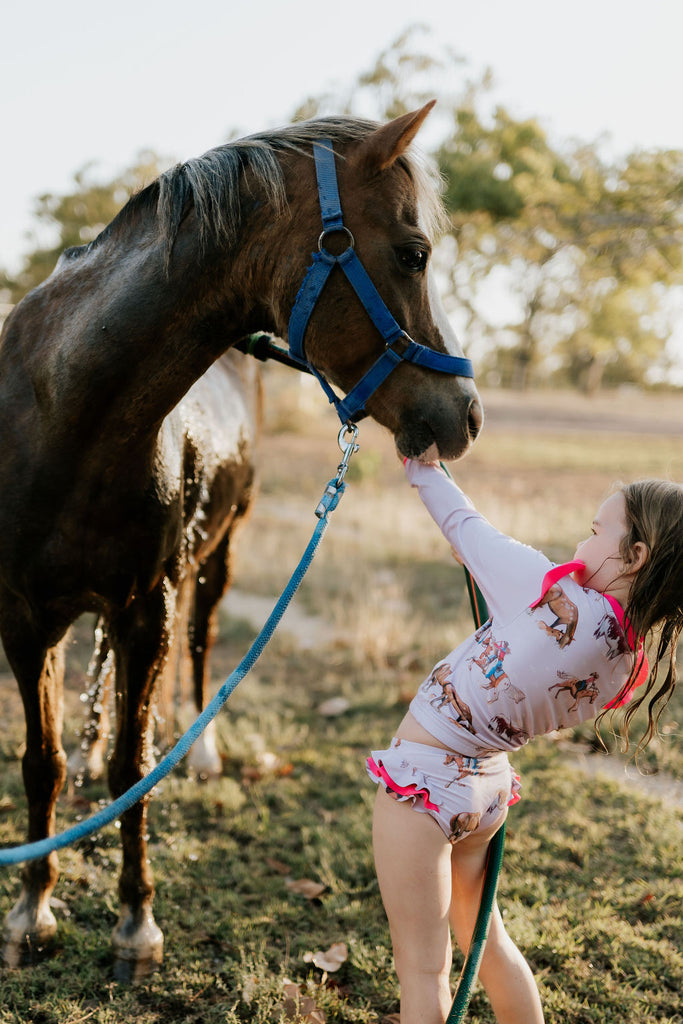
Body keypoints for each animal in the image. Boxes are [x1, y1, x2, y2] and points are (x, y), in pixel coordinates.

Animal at [0, 102, 482, 979]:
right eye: (413, 252)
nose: (465, 414)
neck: (58, 416)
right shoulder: (25, 618)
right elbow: (41, 761)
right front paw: (30, 912)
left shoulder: (145, 604)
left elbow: (133, 766)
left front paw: (135, 925)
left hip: (213, 561)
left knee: (198, 646)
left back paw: (200, 751)